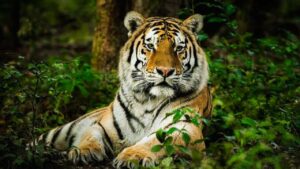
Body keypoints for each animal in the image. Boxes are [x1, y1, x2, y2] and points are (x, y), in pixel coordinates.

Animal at [29, 11, 211, 168]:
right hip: (62, 131)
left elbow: (157, 141)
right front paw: (83, 151)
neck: (149, 100)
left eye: (178, 48)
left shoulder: (185, 127)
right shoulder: (104, 125)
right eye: (150, 46)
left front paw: (133, 156)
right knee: (36, 141)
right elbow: (90, 135)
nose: (165, 71)